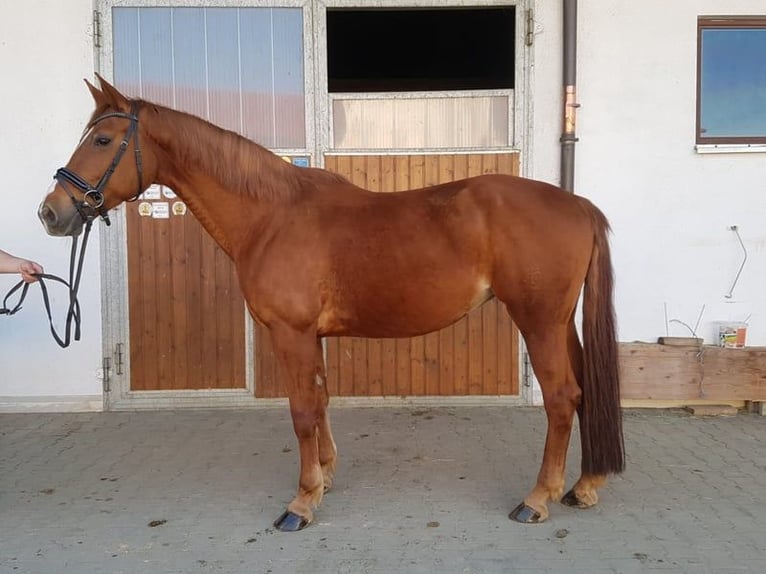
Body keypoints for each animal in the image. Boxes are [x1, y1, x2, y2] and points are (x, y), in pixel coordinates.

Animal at [39, 75, 624, 532]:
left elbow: (301, 412)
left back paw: (537, 499)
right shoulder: (311, 338)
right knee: (585, 390)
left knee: (561, 398)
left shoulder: (290, 333)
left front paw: (300, 503)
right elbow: (319, 402)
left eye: (103, 139)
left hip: (539, 322)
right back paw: (584, 486)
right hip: (560, 323)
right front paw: (323, 478)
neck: (272, 215)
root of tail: (578, 204)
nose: (51, 212)